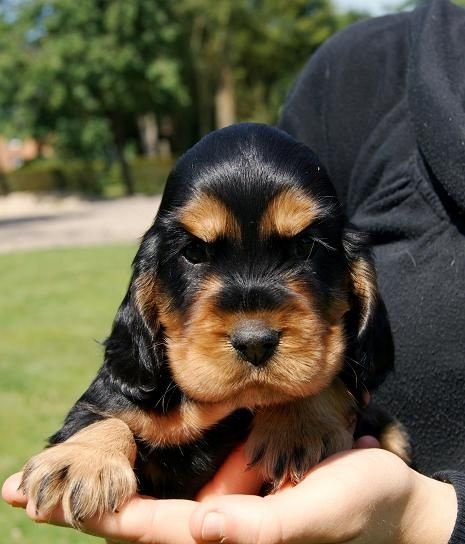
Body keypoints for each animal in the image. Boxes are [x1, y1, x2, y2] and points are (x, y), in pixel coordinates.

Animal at [20, 124, 408, 528]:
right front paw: (79, 461)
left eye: (305, 247)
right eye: (194, 252)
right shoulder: (110, 402)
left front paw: (295, 425)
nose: (255, 342)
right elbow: (104, 418)